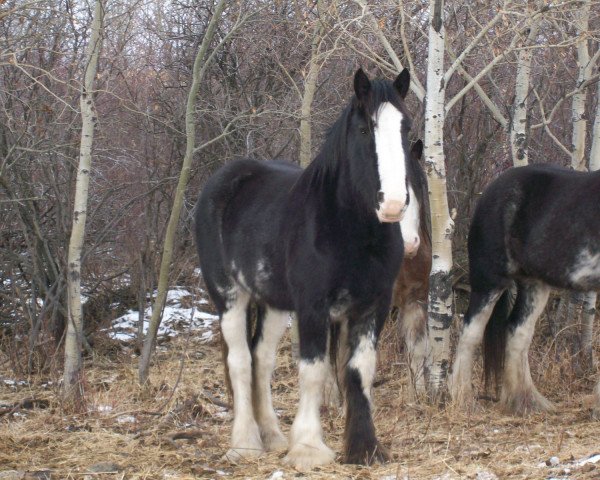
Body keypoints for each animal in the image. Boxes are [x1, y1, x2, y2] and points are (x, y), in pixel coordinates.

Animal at [195, 69, 414, 466]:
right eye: (365, 129)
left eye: (405, 127)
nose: (392, 204)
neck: (347, 228)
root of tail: (223, 181)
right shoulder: (313, 306)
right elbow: (313, 372)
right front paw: (310, 449)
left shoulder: (372, 306)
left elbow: (359, 370)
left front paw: (365, 448)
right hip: (229, 297)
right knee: (240, 361)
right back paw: (245, 443)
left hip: (274, 304)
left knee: (261, 360)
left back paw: (272, 437)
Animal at [450, 164, 600, 416]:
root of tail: (492, 188)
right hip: (489, 280)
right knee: (470, 332)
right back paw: (463, 400)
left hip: (534, 284)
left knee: (517, 331)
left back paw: (525, 402)